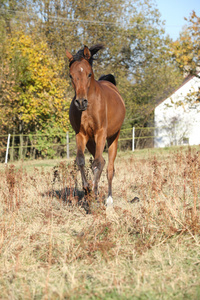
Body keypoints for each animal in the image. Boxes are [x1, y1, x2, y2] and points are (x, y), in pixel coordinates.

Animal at [65, 43, 125, 205]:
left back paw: (109, 199)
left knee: (109, 167)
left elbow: (97, 163)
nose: (80, 102)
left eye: (89, 74)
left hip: (112, 137)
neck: (89, 107)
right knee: (103, 162)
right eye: (71, 75)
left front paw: (95, 191)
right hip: (91, 141)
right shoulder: (81, 135)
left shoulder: (101, 133)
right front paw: (87, 190)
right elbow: (81, 160)